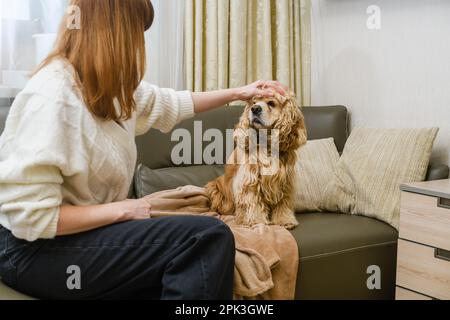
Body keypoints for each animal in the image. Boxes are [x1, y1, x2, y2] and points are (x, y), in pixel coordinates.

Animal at [206, 91, 308, 229]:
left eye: (271, 103)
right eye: (253, 103)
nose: (255, 109)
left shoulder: (285, 182)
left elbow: (283, 204)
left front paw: (284, 220)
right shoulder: (250, 180)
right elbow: (252, 202)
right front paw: (256, 221)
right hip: (214, 188)